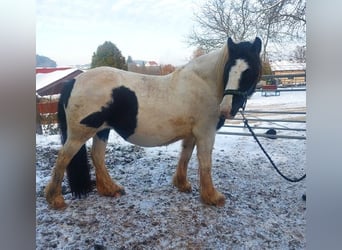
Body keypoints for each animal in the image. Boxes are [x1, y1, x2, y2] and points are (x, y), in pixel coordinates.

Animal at [43, 37, 262, 209]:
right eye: (228, 69)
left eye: (249, 70)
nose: (226, 109)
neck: (203, 84)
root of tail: (74, 81)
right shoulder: (205, 132)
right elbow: (205, 163)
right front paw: (213, 197)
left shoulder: (192, 134)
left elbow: (185, 157)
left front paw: (182, 184)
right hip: (80, 133)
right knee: (63, 158)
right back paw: (55, 200)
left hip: (102, 130)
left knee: (97, 156)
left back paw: (110, 189)